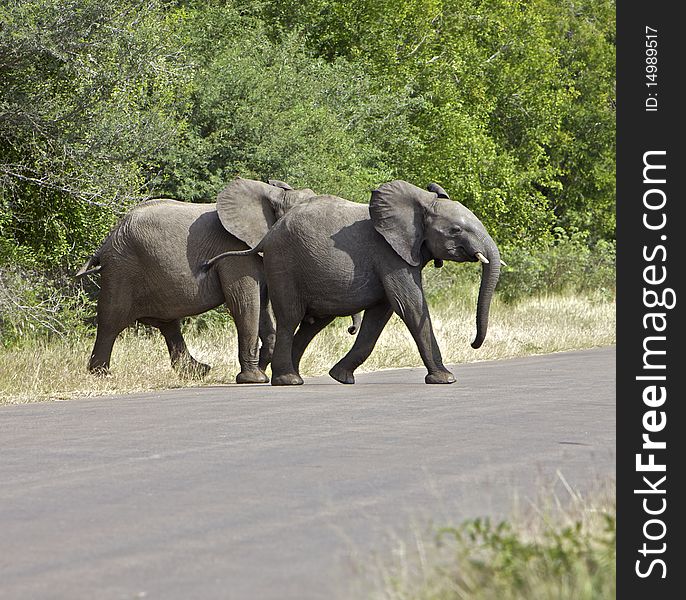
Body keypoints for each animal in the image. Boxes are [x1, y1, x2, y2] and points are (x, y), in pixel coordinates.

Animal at [206, 179, 506, 384]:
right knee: (290, 316)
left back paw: (294, 376)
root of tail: (267, 236)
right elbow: (409, 304)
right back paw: (288, 381)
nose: (473, 343)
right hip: (284, 263)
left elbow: (382, 313)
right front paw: (445, 379)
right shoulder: (388, 253)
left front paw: (340, 377)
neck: (420, 202)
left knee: (313, 322)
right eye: (455, 230)